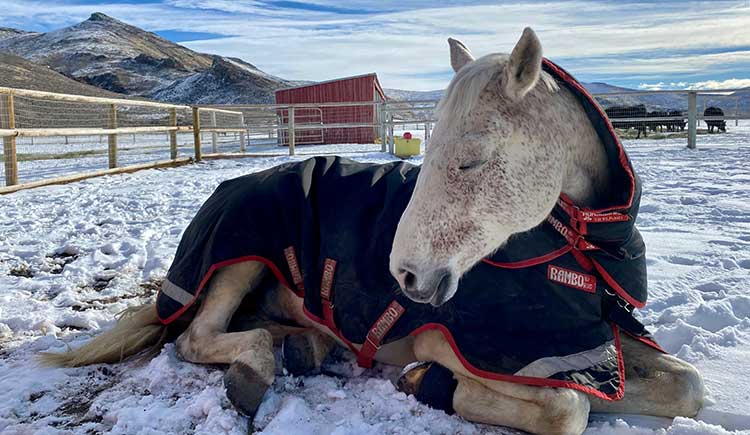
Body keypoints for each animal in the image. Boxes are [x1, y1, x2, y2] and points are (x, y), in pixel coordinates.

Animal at [41, 29, 704, 434]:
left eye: (470, 160)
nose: (406, 275)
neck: (577, 249)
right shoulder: (456, 341)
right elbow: (570, 407)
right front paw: (427, 383)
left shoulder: (593, 340)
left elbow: (686, 386)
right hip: (238, 257)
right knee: (196, 337)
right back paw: (257, 369)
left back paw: (304, 344)